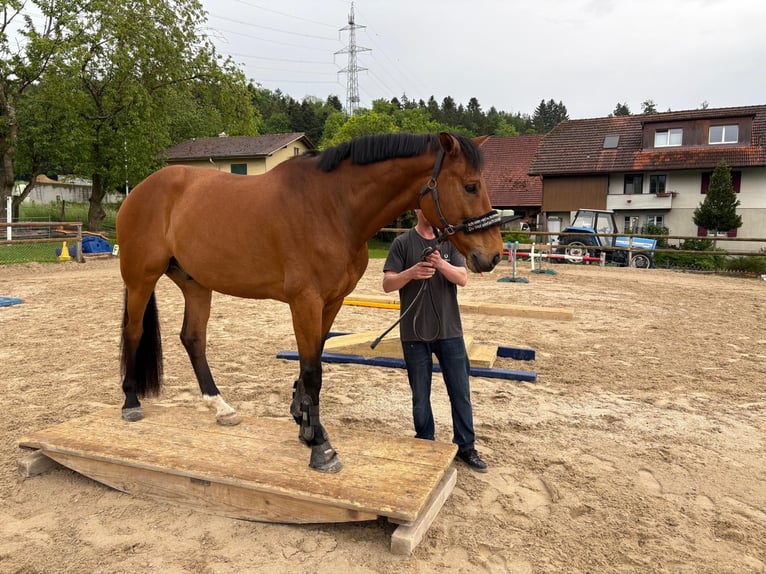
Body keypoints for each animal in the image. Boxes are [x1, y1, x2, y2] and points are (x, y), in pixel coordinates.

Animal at [116, 132, 504, 473]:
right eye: (471, 186)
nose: (494, 255)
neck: (333, 207)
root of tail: (140, 190)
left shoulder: (331, 303)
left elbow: (313, 360)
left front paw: (305, 424)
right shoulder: (305, 302)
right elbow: (312, 370)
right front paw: (320, 446)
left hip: (195, 284)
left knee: (193, 338)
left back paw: (220, 407)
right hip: (140, 279)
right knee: (134, 332)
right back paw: (131, 402)